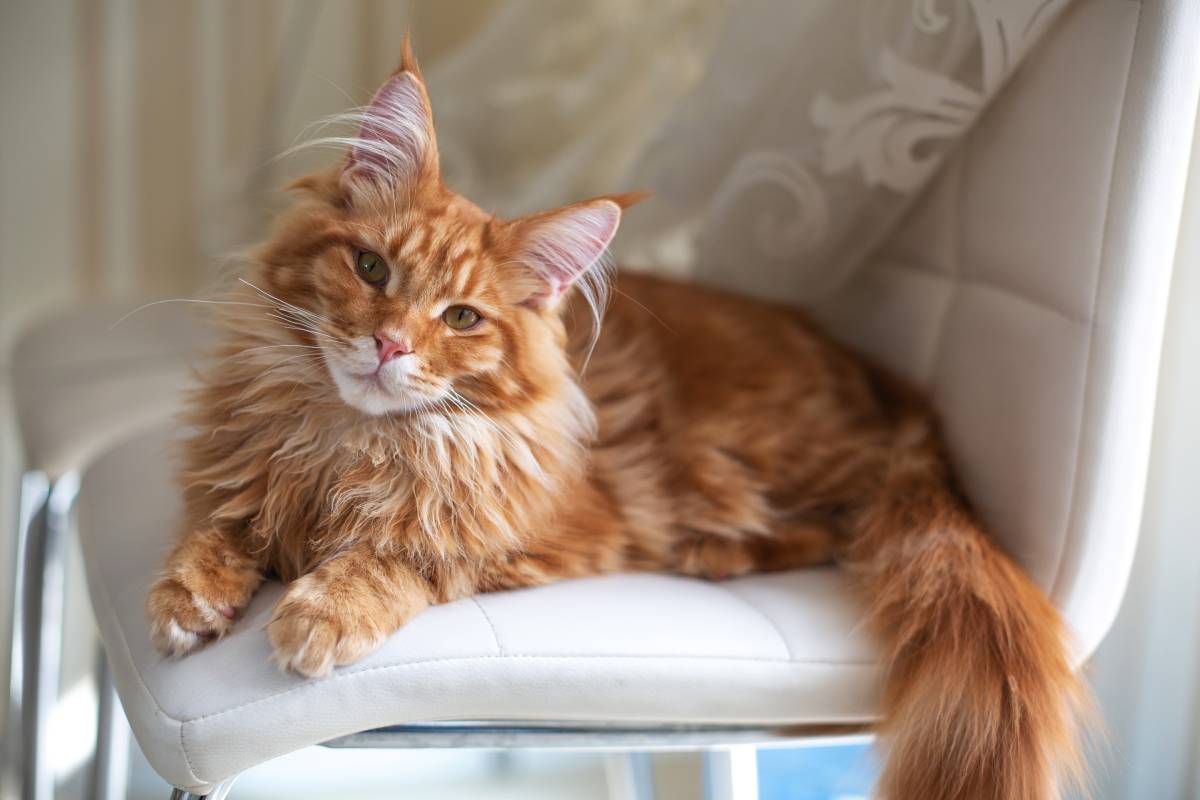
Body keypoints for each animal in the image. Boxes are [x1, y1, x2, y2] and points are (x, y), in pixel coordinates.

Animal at [145, 42, 1084, 800]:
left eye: (461, 319)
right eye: (371, 269)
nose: (388, 343)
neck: (352, 440)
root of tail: (882, 379)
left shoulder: (540, 534)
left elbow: (403, 558)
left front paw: (323, 612)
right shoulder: (242, 470)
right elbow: (220, 524)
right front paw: (189, 596)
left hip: (750, 464)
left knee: (839, 526)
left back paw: (716, 553)